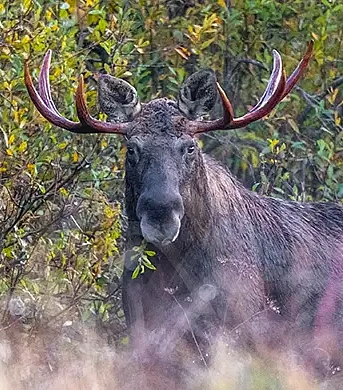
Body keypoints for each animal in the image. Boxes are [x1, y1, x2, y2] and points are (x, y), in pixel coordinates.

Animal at [25, 43, 343, 386]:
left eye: (189, 147)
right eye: (132, 148)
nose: (160, 214)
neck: (177, 270)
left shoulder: (246, 328)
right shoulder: (146, 332)